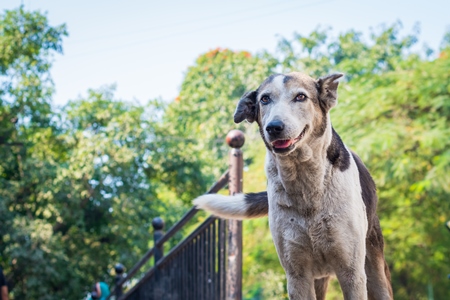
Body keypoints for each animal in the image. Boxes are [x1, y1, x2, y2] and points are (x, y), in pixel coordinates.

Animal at [194, 72, 394, 300]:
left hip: (374, 267)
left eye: (300, 97)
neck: (305, 180)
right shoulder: (297, 274)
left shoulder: (351, 272)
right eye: (264, 99)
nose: (274, 127)